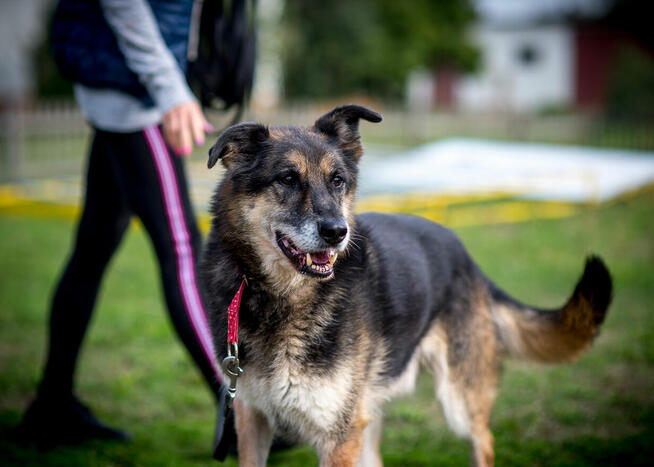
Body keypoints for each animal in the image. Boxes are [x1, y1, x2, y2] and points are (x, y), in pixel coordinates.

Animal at [201, 106, 616, 467]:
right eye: (287, 178)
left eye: (337, 181)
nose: (337, 233)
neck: (280, 297)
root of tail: (468, 260)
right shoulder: (252, 419)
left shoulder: (339, 436)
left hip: (458, 399)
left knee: (484, 440)